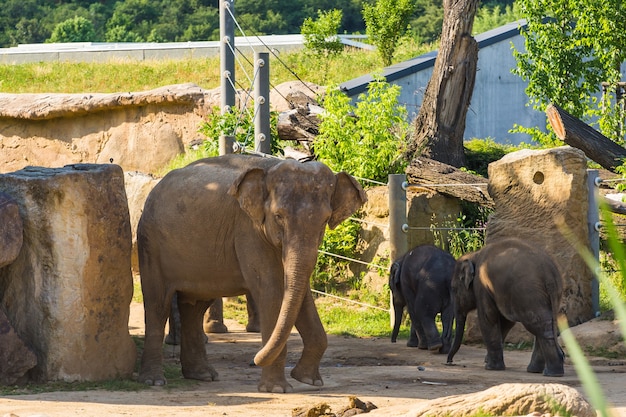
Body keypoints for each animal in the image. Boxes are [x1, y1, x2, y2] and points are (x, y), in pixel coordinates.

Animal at [134, 153, 364, 390]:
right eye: (278, 216)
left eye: (325, 220)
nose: (254, 360)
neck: (271, 168)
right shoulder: (248, 230)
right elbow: (272, 291)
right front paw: (278, 389)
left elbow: (299, 293)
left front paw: (308, 380)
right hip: (151, 243)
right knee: (157, 304)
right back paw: (154, 381)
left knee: (194, 307)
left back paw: (203, 375)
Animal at [444, 236, 564, 376]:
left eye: (453, 288)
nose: (449, 362)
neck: (474, 255)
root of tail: (550, 274)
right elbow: (505, 322)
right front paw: (488, 361)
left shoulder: (482, 285)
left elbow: (488, 318)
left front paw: (490, 367)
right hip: (549, 295)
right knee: (544, 325)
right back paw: (536, 370)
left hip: (528, 294)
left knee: (539, 326)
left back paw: (551, 372)